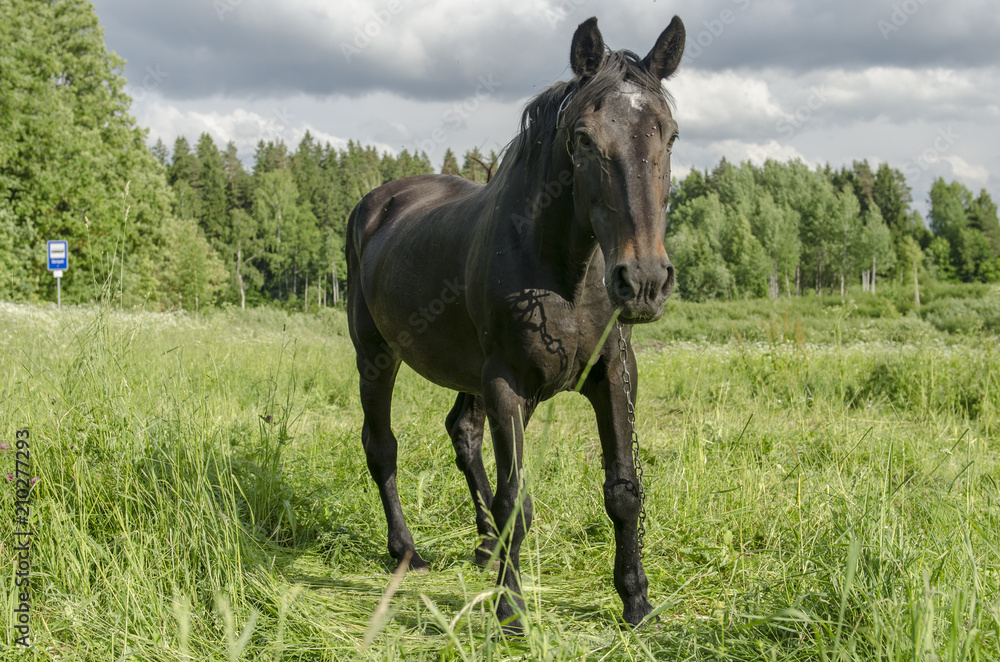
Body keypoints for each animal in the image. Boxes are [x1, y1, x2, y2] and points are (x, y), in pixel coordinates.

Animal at [346, 15, 685, 628]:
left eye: (668, 135)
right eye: (583, 139)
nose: (644, 280)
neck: (565, 277)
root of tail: (377, 203)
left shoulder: (614, 376)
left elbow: (624, 491)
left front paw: (636, 601)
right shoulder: (506, 383)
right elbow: (516, 501)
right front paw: (510, 610)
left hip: (466, 371)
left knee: (463, 433)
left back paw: (484, 545)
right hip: (375, 356)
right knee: (382, 446)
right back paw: (406, 550)